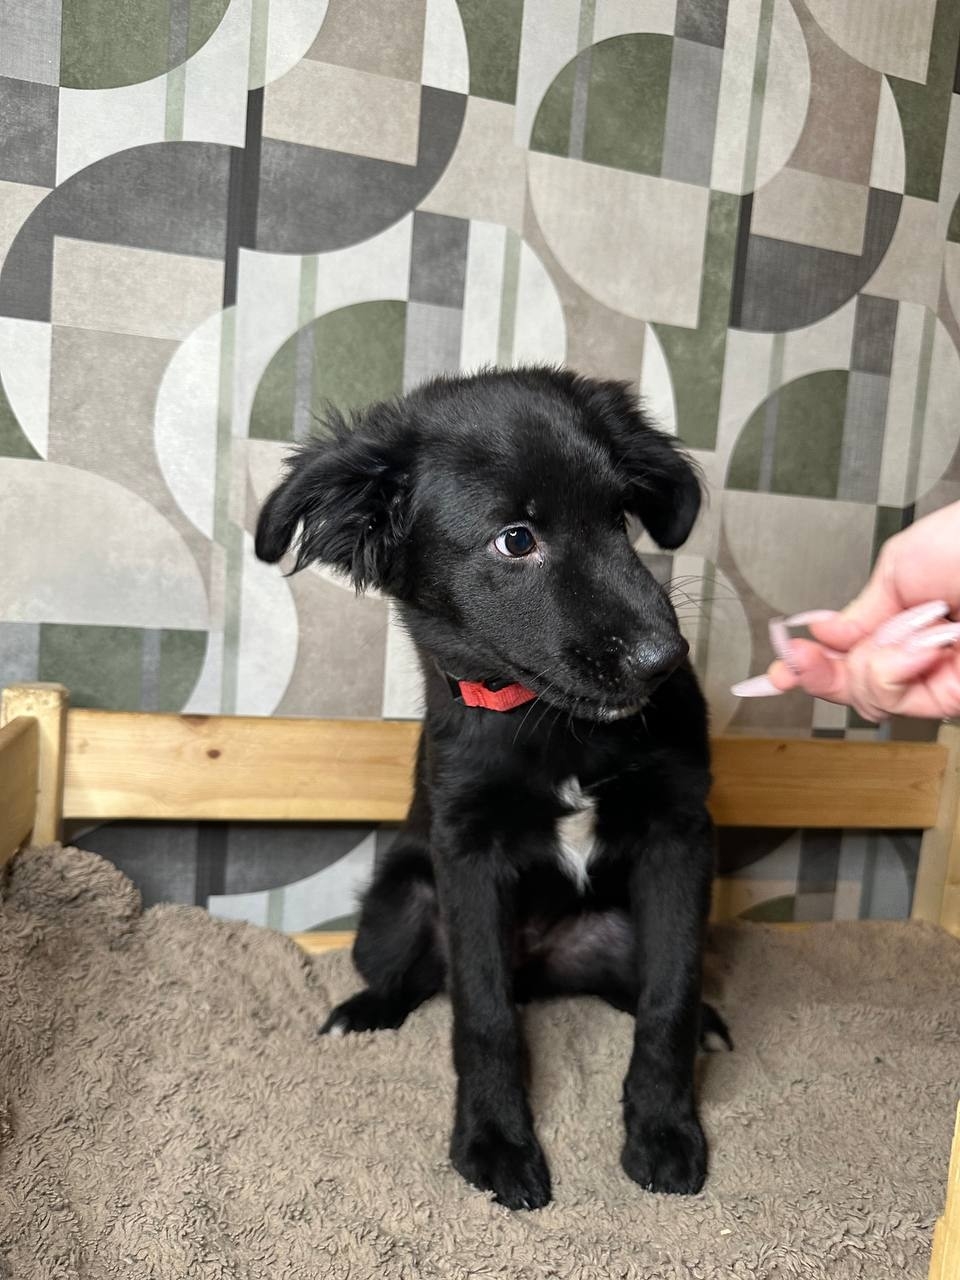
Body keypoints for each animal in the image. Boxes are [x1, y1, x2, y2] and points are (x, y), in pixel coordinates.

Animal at [255, 366, 727, 1210]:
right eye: (516, 540)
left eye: (619, 516)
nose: (664, 661)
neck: (552, 724)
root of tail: (541, 965)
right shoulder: (465, 851)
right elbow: (480, 1010)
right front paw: (495, 1142)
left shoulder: (679, 833)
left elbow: (668, 996)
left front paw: (664, 1130)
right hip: (398, 901)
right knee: (414, 978)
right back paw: (361, 1012)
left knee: (640, 985)